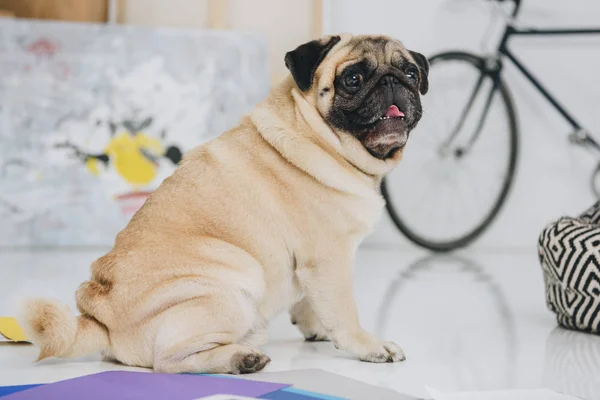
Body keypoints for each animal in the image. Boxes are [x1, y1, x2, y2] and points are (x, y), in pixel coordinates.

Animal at [22, 34, 426, 376]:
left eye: (411, 73)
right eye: (353, 79)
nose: (393, 82)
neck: (317, 134)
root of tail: (100, 319)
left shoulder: (312, 268)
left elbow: (311, 302)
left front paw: (315, 328)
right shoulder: (329, 259)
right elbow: (344, 311)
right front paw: (368, 346)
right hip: (234, 285)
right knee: (168, 361)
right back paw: (240, 358)